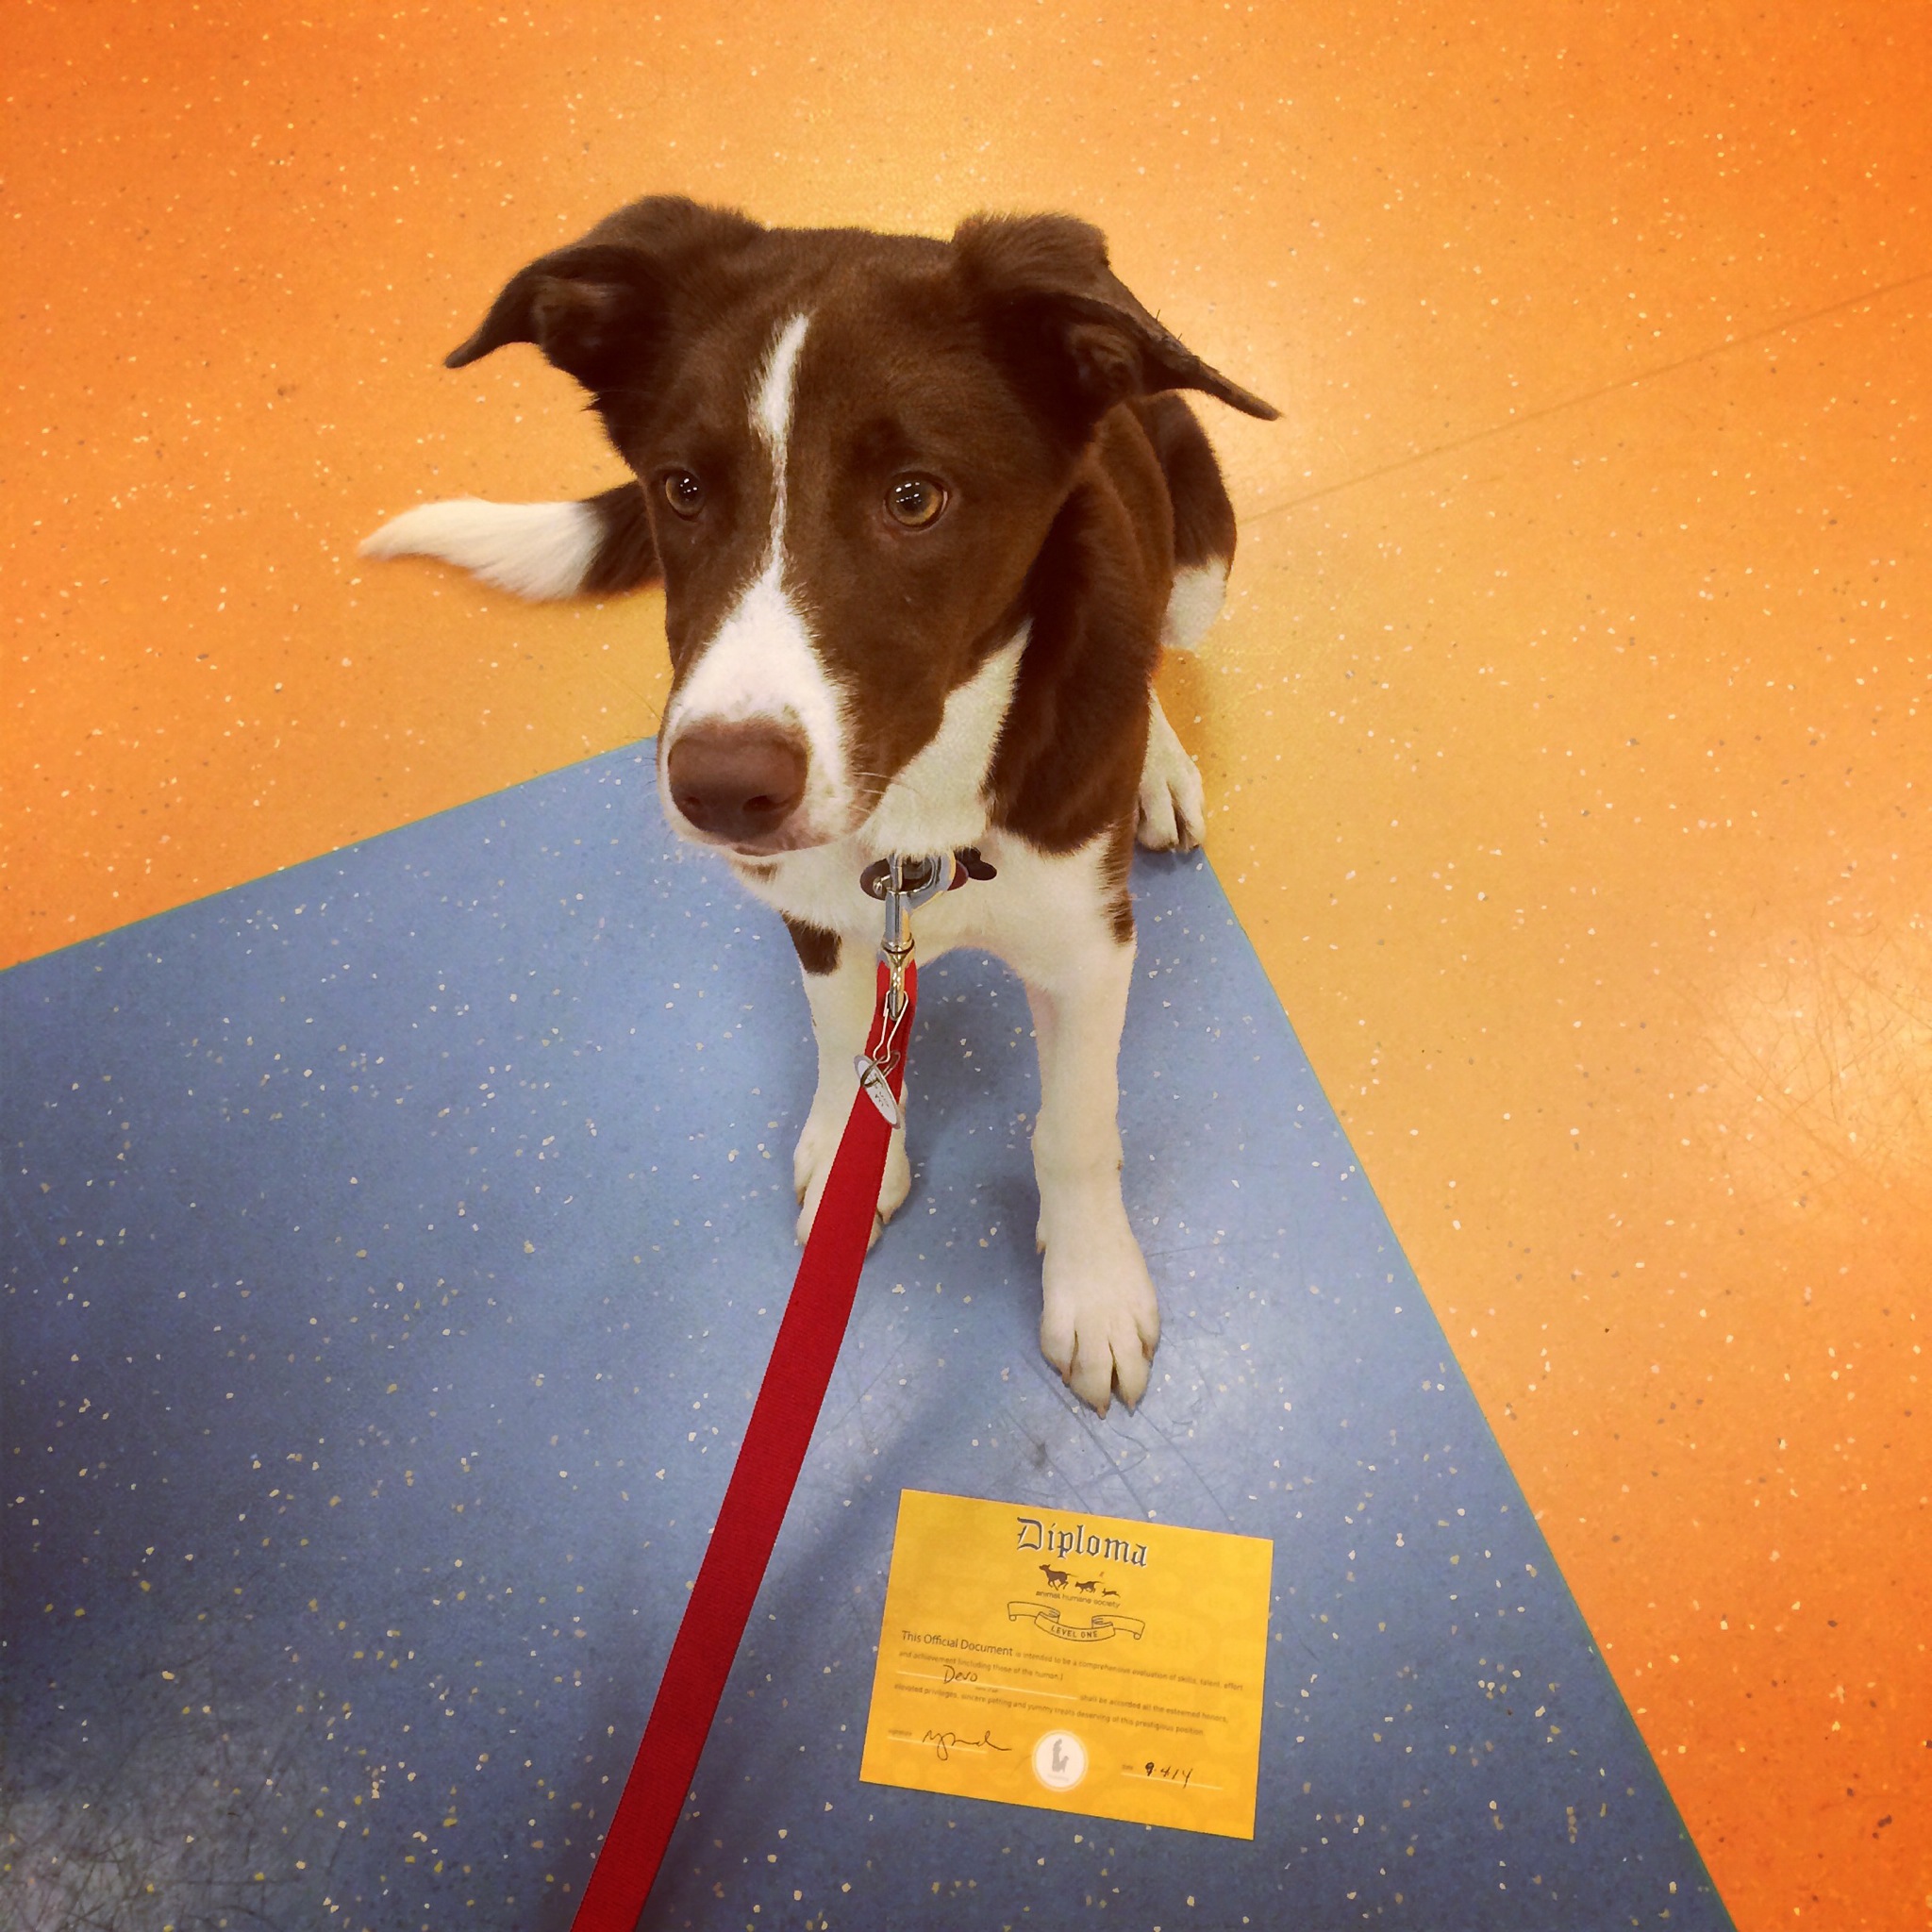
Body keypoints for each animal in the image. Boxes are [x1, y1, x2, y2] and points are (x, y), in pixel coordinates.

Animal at [363, 196, 1275, 1413]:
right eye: (681, 487)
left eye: (914, 497)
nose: (718, 791)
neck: (916, 823)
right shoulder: (819, 912)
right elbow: (847, 1040)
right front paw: (854, 1148)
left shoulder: (1087, 945)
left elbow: (1073, 1124)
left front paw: (1092, 1288)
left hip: (1199, 555)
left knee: (1157, 654)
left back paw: (1158, 764)